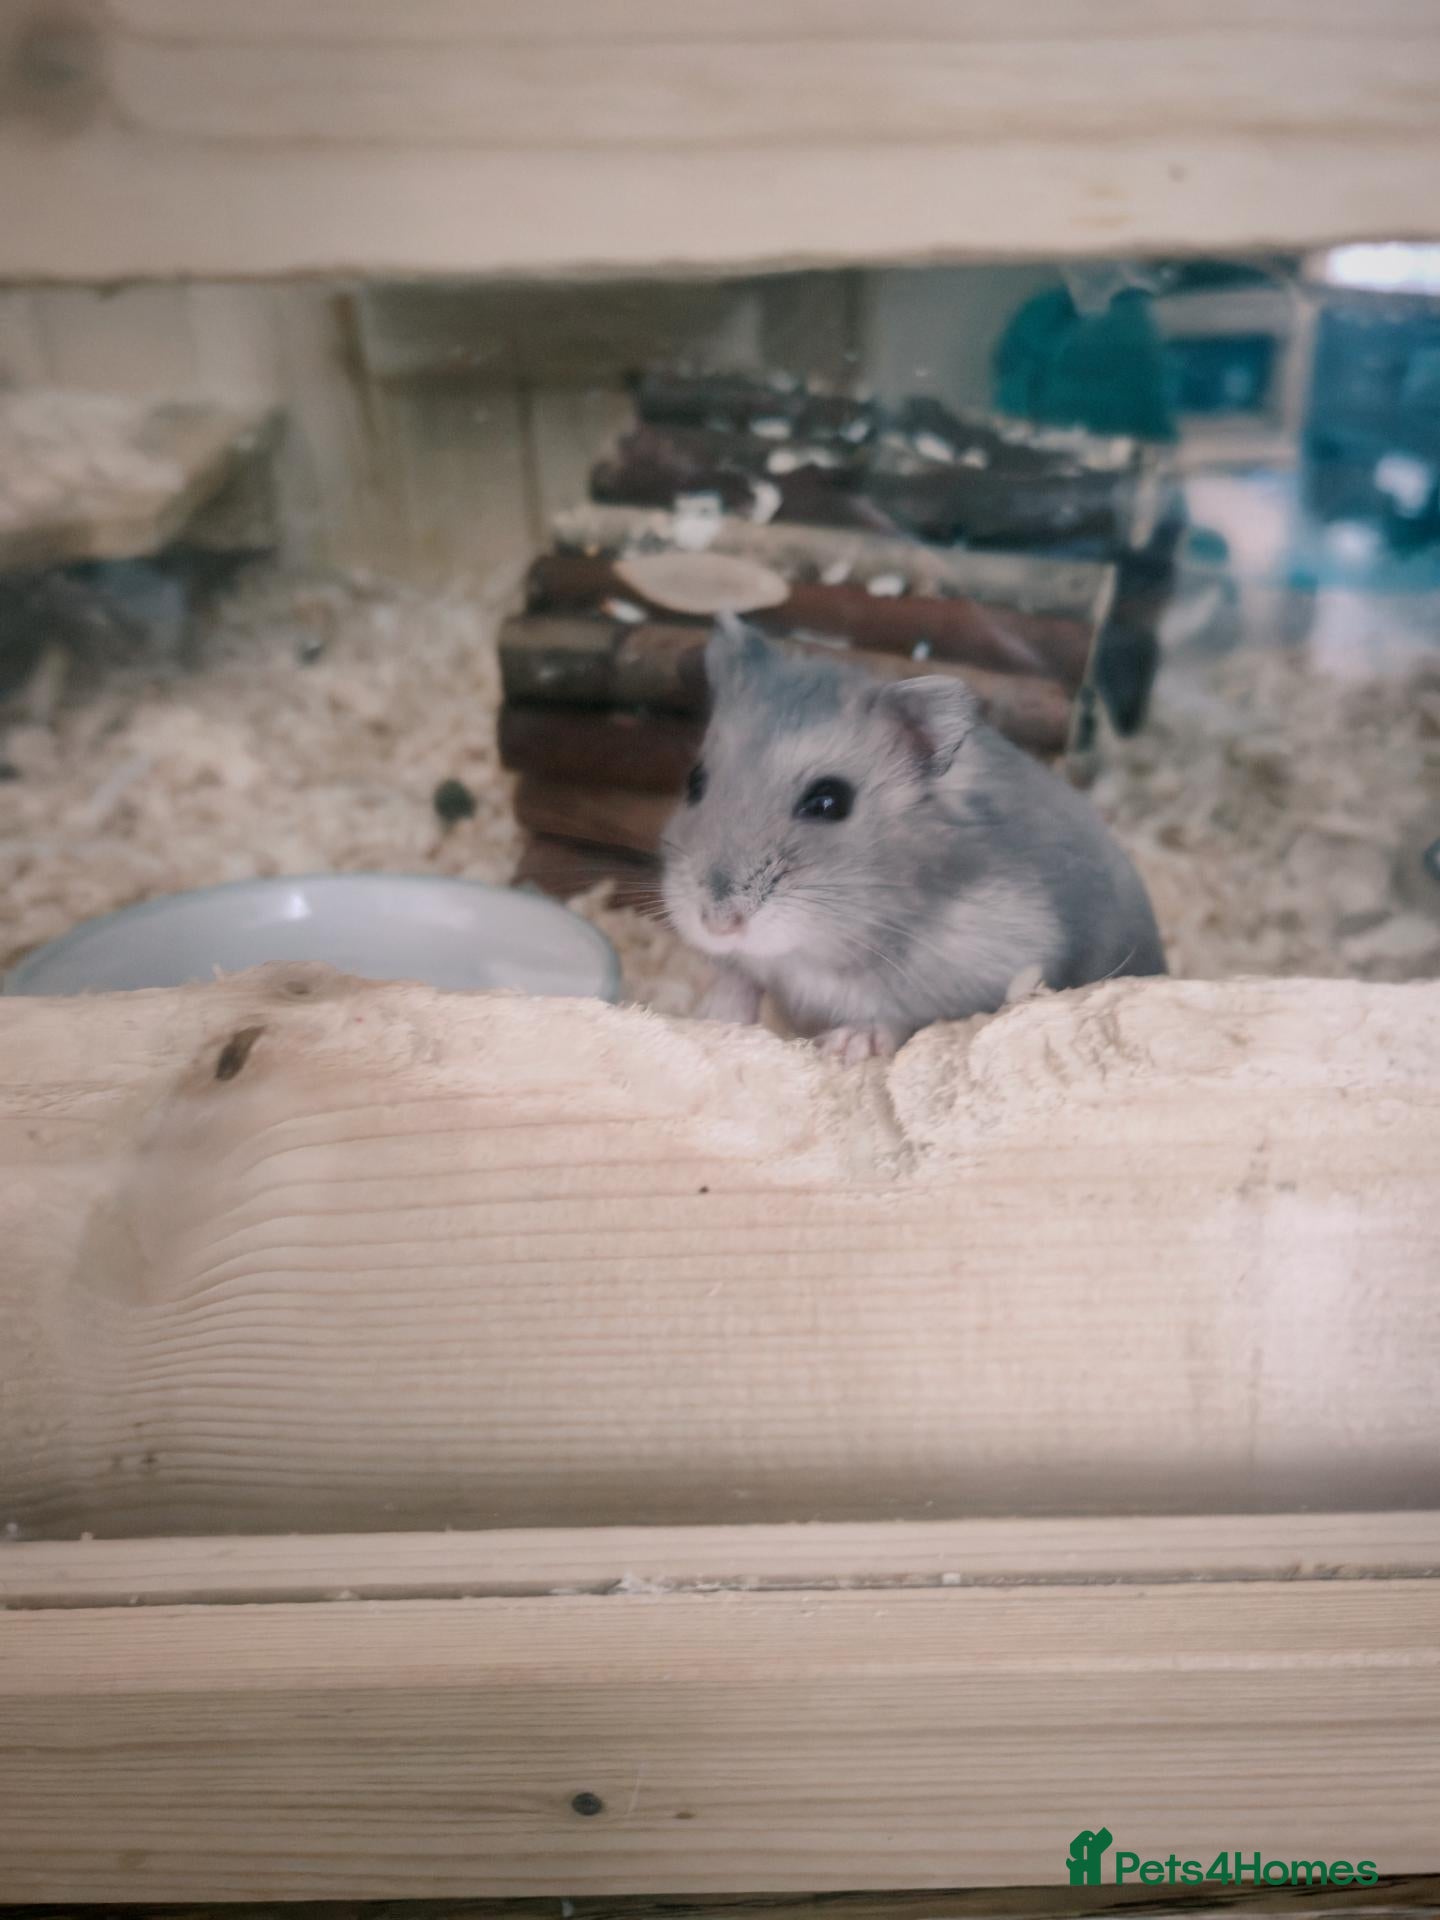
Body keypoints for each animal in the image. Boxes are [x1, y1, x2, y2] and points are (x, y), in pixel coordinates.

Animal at [661, 615, 1166, 1062]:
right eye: (694, 781)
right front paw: (710, 1015)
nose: (718, 924)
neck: (815, 949)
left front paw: (846, 1046)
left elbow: (899, 1017)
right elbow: (741, 978)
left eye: (829, 802)